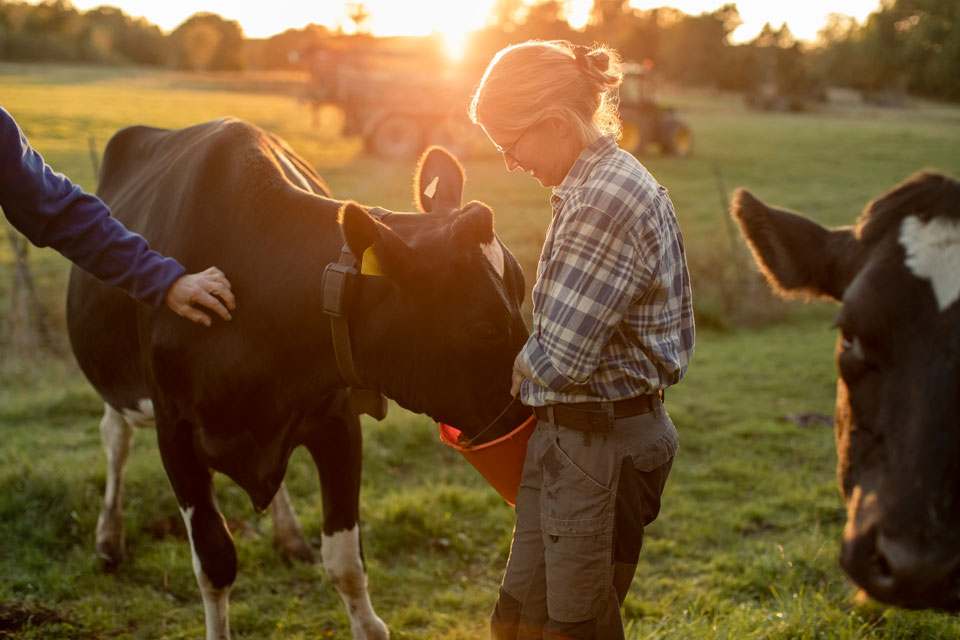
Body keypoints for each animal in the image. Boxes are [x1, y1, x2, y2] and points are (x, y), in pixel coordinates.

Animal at [65, 117, 532, 636]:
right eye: (483, 328)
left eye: (522, 290)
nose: (531, 417)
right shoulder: (175, 431)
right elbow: (215, 561)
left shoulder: (337, 422)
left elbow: (345, 562)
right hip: (118, 383)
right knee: (115, 438)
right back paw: (109, 537)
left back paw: (288, 537)